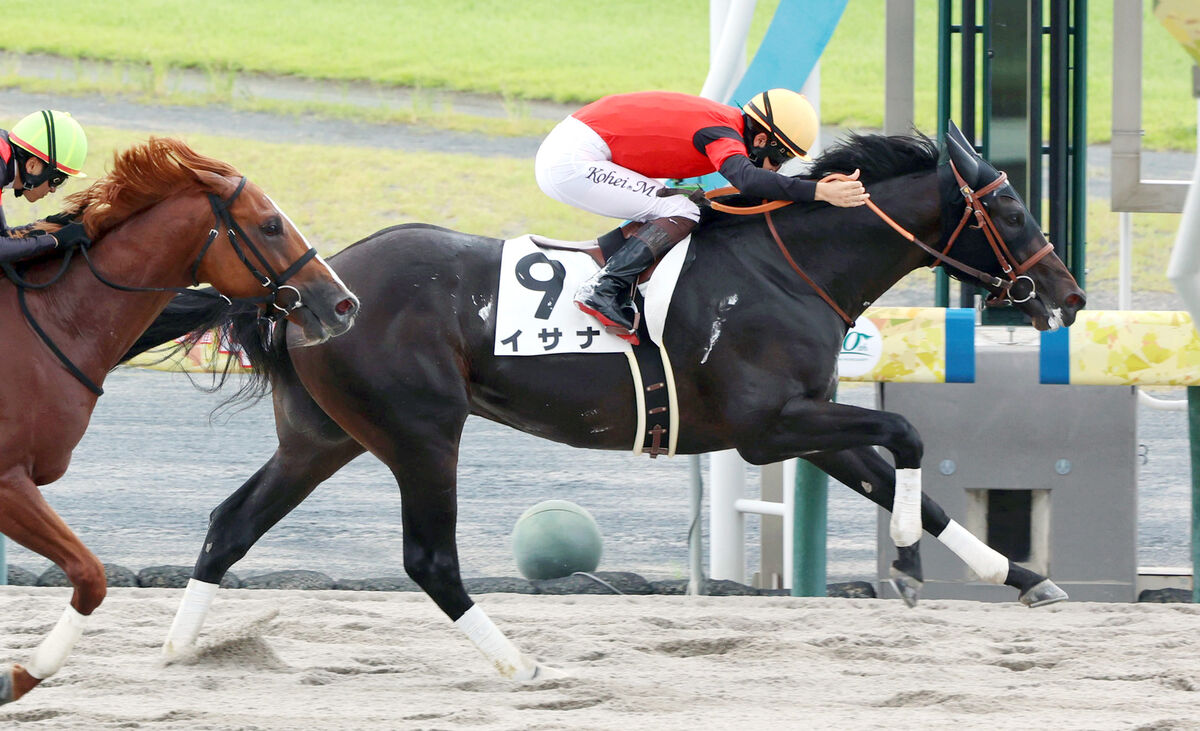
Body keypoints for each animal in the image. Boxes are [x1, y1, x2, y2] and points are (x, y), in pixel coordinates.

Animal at [0, 135, 357, 700]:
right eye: (270, 225)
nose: (344, 303)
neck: (52, 322)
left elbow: (89, 577)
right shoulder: (9, 481)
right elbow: (91, 576)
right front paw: (20, 674)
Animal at [136, 124, 1084, 676]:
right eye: (1010, 207)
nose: (1068, 297)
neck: (785, 269)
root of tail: (308, 286)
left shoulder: (805, 425)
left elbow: (901, 480)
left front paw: (1020, 575)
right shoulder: (767, 427)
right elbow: (909, 436)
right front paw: (910, 566)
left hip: (323, 436)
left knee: (231, 524)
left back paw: (180, 650)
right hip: (420, 430)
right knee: (429, 559)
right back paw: (518, 664)